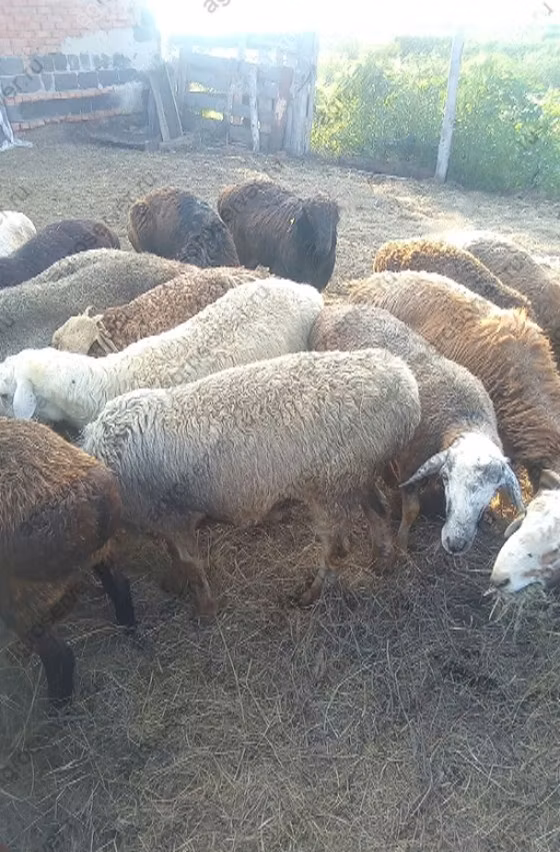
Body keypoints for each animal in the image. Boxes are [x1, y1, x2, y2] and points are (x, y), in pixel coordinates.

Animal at [0, 416, 135, 705]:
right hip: (101, 554)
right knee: (120, 587)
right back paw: (130, 631)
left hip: (23, 599)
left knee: (59, 655)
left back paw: (56, 708)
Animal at [80, 348, 421, 614]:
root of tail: (406, 386)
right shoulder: (166, 517)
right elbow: (174, 555)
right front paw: (174, 583)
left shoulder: (171, 516)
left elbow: (191, 563)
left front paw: (205, 608)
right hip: (355, 474)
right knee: (378, 509)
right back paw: (383, 559)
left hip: (330, 487)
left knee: (336, 549)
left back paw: (312, 593)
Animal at [309, 302, 524, 554]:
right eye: (447, 478)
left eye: (492, 492)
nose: (456, 543)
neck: (464, 416)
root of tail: (335, 306)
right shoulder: (410, 461)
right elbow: (412, 509)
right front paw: (402, 545)